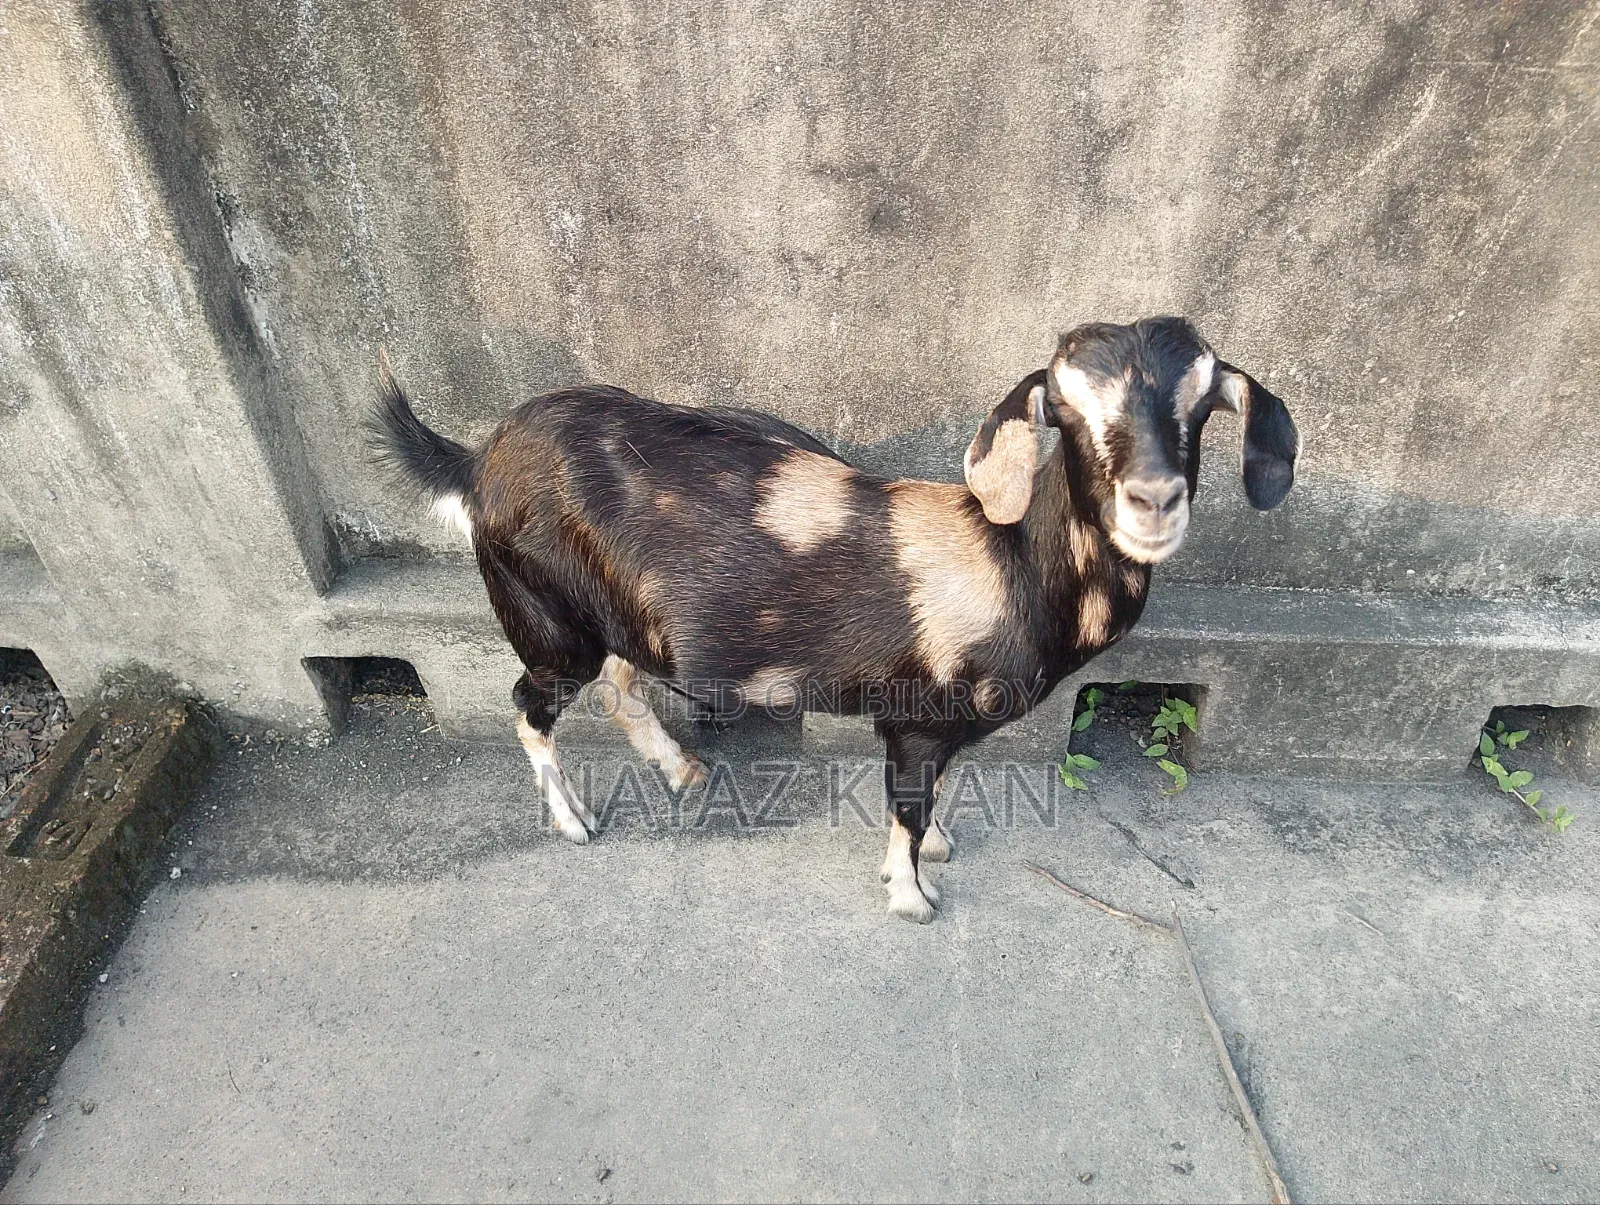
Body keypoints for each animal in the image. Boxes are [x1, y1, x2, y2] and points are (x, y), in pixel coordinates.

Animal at [372, 317, 1298, 922]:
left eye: (1203, 404)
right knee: (530, 703)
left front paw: (939, 849)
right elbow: (908, 805)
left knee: (621, 683)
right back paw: (573, 821)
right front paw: (914, 895)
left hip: (624, 616)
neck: (1005, 565)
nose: (1153, 501)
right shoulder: (915, 720)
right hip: (547, 615)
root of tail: (476, 461)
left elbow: (935, 796)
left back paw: (685, 771)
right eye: (1065, 414)